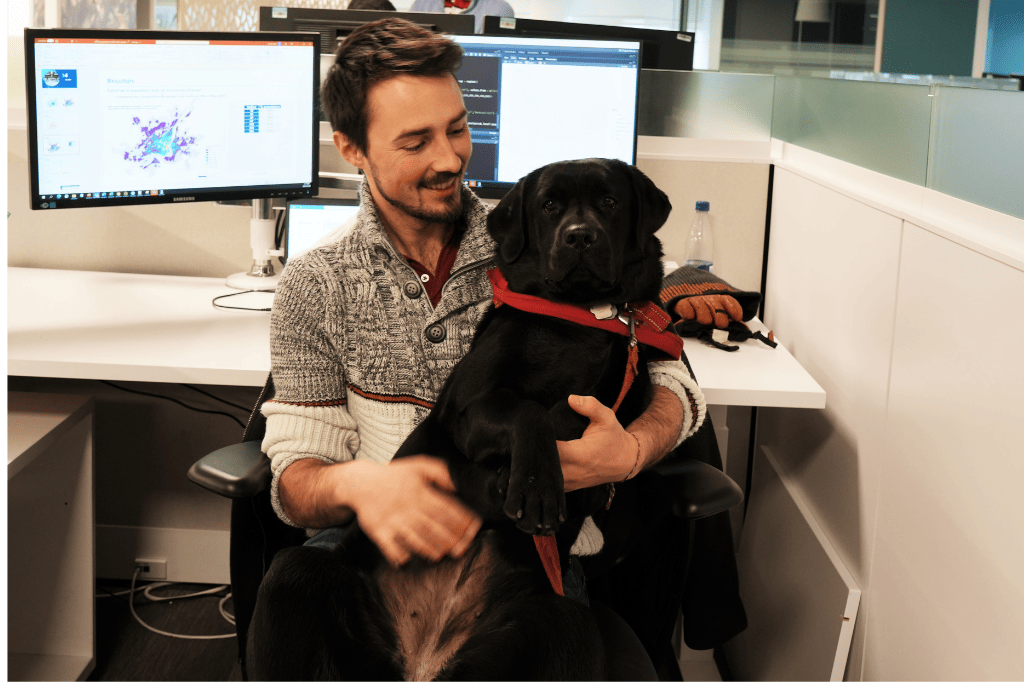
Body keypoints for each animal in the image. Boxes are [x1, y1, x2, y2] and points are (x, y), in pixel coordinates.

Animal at [247, 159, 675, 679]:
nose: (579, 237)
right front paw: (534, 485)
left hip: (563, 620)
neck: (583, 319)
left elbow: (577, 413)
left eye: (610, 202)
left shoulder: (629, 395)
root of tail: (421, 662)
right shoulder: (467, 410)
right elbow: (533, 412)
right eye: (549, 205)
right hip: (295, 572)